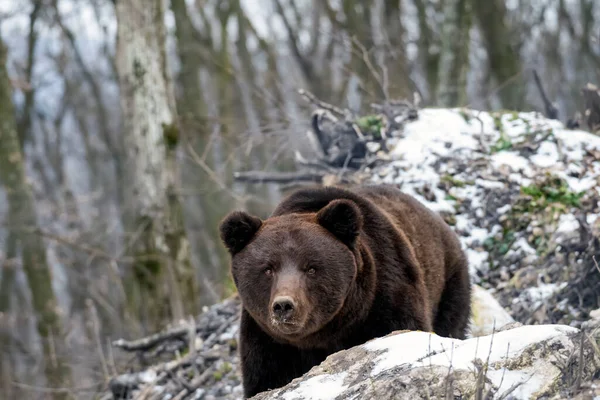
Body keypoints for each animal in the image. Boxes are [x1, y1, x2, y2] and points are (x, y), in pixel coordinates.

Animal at [218, 184, 472, 396]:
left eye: (311, 267)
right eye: (268, 268)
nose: (284, 305)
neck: (324, 335)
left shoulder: (386, 297)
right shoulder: (268, 342)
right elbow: (265, 379)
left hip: (449, 281)